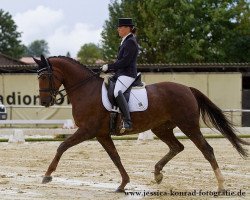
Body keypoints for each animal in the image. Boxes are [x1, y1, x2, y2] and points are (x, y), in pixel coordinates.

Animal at [34, 55, 248, 192]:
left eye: (45, 76)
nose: (44, 102)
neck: (86, 90)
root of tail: (187, 88)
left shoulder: (88, 130)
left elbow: (62, 146)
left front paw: (47, 175)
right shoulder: (101, 134)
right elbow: (115, 157)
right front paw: (123, 184)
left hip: (188, 126)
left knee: (206, 150)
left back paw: (221, 185)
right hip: (161, 128)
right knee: (177, 147)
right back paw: (158, 174)